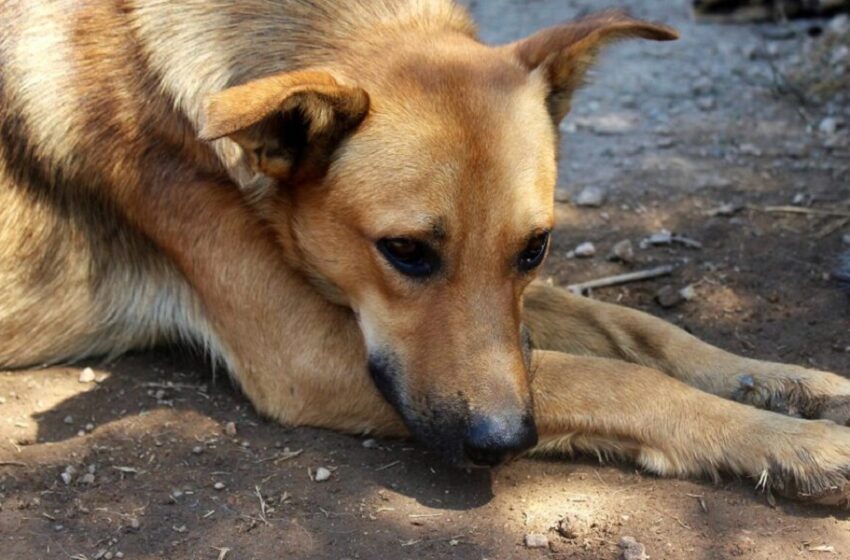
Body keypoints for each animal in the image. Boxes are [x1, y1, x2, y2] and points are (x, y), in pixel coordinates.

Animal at [4, 0, 848, 508]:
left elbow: (636, 329)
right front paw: (797, 444)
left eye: (535, 248)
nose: (502, 444)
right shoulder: (307, 355)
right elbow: (614, 378)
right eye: (404, 251)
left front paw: (786, 383)